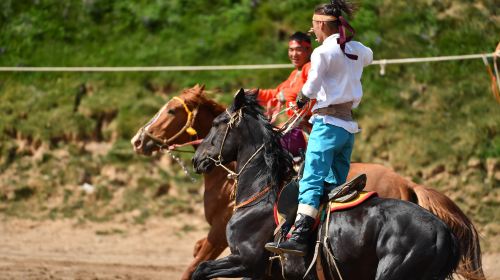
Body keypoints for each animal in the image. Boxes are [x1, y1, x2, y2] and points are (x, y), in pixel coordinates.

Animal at [131, 85, 482, 280]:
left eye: (172, 110)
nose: (139, 139)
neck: (258, 195)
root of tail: (444, 234)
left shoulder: (242, 257)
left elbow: (197, 267)